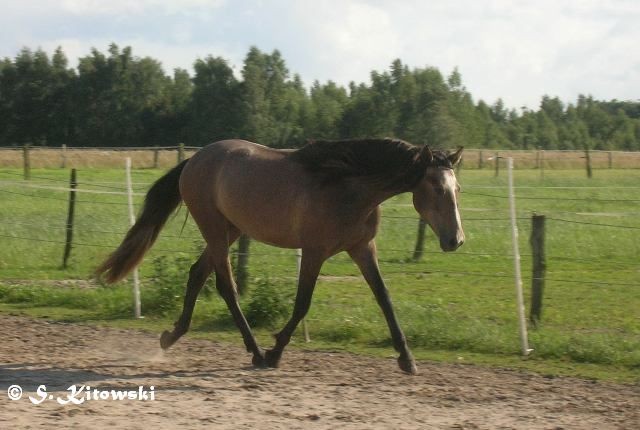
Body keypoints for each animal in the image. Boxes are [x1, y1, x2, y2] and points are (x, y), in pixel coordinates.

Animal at [95, 139, 462, 374]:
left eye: (457, 189)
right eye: (436, 188)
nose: (455, 240)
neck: (349, 187)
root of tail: (195, 159)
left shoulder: (362, 249)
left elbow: (384, 298)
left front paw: (407, 359)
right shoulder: (314, 252)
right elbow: (302, 304)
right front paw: (275, 353)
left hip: (230, 230)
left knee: (197, 273)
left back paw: (171, 336)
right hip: (214, 229)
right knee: (226, 286)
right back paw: (256, 352)